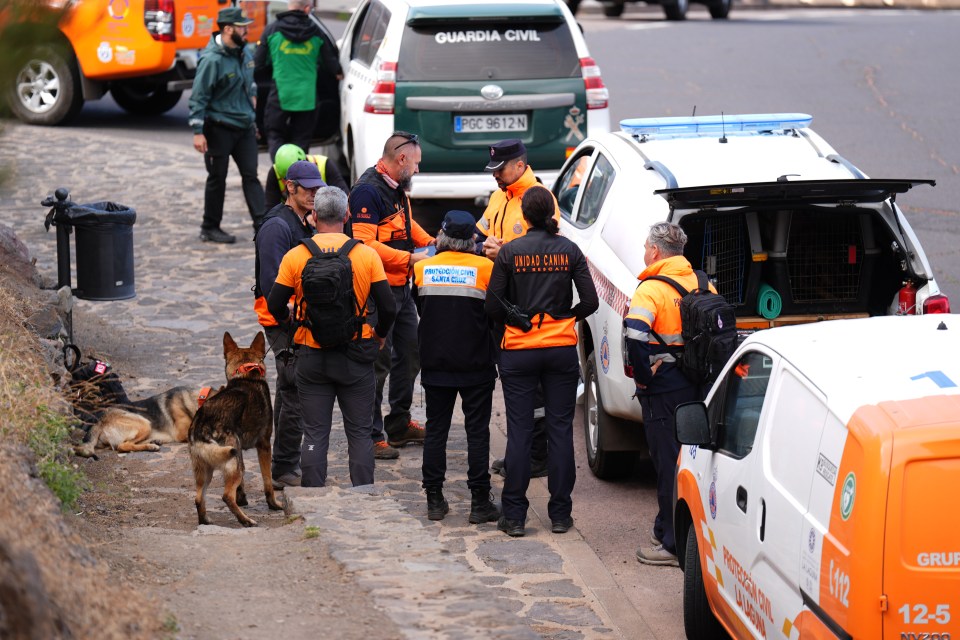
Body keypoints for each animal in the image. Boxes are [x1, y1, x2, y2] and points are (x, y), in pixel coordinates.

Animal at [72, 384, 214, 460]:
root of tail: (99, 421)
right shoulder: (183, 433)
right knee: (123, 446)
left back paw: (154, 442)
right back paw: (151, 447)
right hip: (144, 423)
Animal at [188, 330, 284, 524]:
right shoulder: (264, 446)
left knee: (199, 498)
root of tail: (202, 423)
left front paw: (243, 498)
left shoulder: (241, 455)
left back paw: (206, 521)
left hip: (208, 469)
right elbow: (268, 482)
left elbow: (242, 484)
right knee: (226, 496)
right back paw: (246, 521)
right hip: (230, 460)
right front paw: (274, 505)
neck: (247, 375)